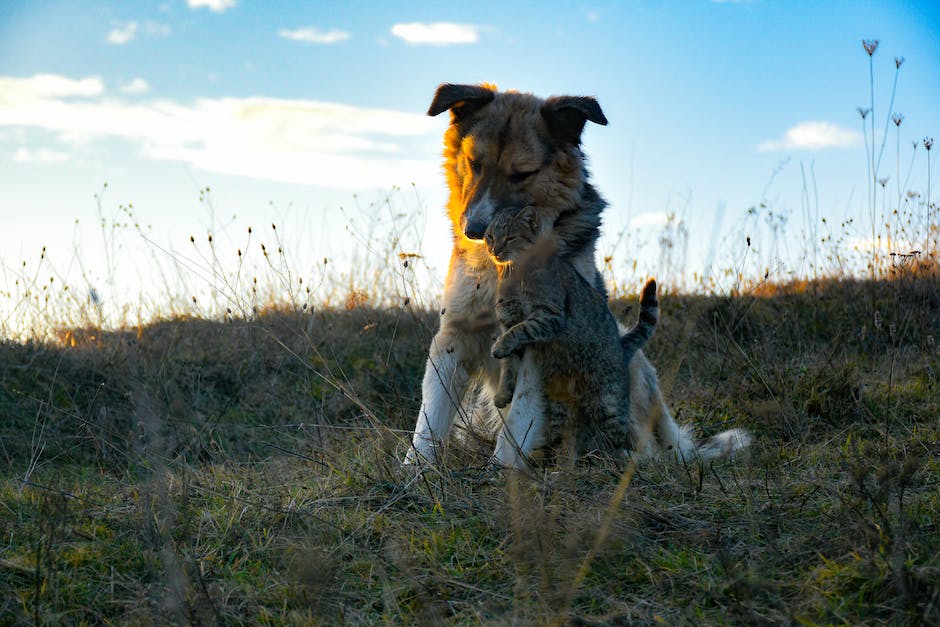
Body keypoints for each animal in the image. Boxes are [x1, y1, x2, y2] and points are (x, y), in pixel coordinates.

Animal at [404, 82, 748, 466]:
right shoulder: (456, 332)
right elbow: (430, 417)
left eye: (521, 174)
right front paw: (415, 470)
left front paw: (500, 471)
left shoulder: (542, 339)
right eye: (474, 163)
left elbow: (518, 418)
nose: (475, 231)